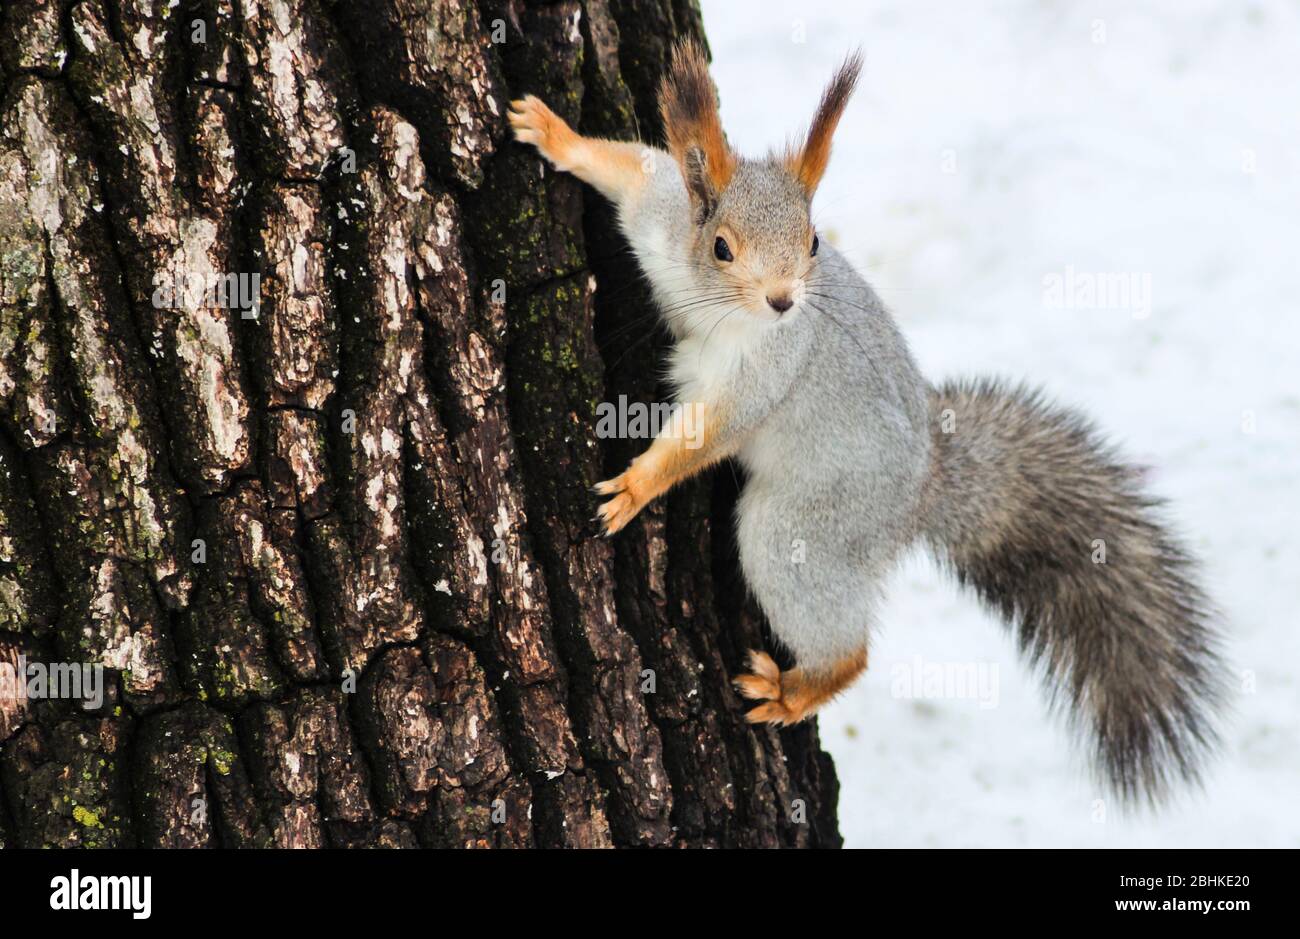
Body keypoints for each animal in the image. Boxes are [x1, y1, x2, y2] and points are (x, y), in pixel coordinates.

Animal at [509, 41, 1225, 805]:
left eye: (815, 241)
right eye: (722, 246)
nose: (784, 301)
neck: (722, 311)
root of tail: (924, 492)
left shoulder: (767, 373)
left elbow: (707, 436)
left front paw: (637, 486)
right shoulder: (664, 220)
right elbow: (630, 168)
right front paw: (552, 132)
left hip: (804, 526)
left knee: (848, 646)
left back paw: (796, 690)